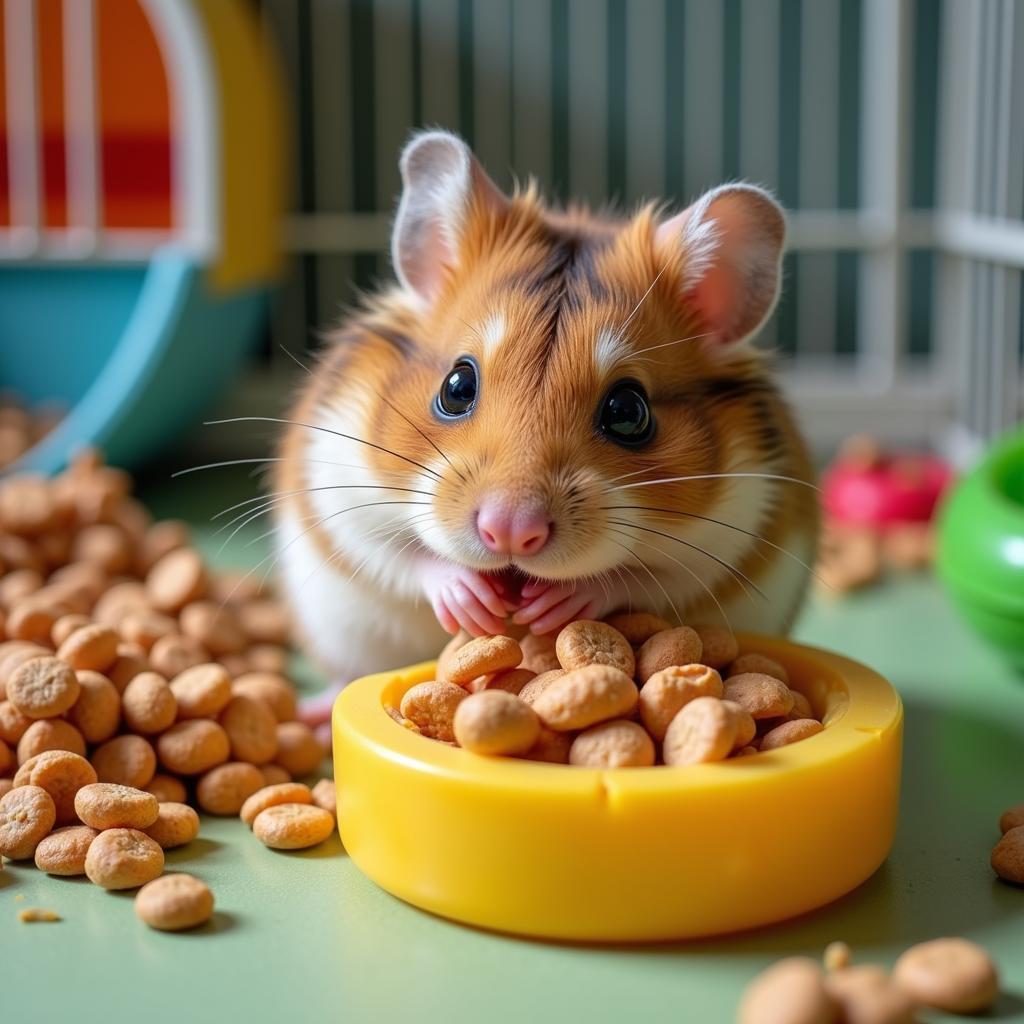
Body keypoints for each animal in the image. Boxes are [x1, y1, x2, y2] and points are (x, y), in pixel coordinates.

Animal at [272, 130, 815, 720]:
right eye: (456, 386)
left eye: (628, 412)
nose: (510, 532)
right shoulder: (337, 490)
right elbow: (404, 555)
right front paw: (473, 604)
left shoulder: (735, 528)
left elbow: (644, 578)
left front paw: (555, 604)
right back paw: (312, 713)